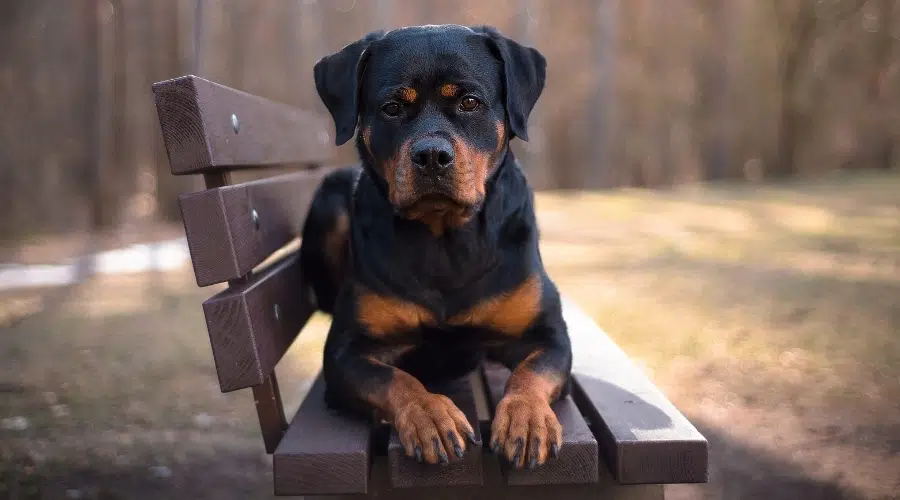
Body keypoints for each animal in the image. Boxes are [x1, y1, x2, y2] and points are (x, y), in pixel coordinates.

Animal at [298, 22, 572, 468]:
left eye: (470, 102)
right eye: (392, 107)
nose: (431, 155)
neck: (444, 239)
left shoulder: (548, 336)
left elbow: (531, 372)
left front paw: (527, 417)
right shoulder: (345, 352)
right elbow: (394, 377)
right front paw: (429, 415)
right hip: (332, 195)